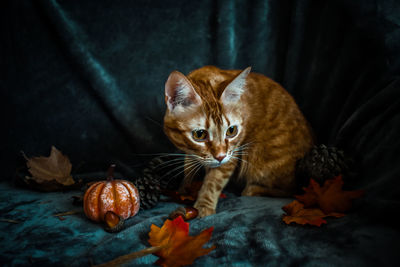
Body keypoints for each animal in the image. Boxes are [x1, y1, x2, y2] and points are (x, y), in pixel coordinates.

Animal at [162, 66, 312, 218]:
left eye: (231, 131)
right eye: (200, 134)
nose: (220, 156)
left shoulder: (232, 154)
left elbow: (213, 182)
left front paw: (204, 206)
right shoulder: (193, 153)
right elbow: (188, 166)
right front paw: (184, 187)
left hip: (261, 159)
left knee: (292, 189)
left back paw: (252, 189)